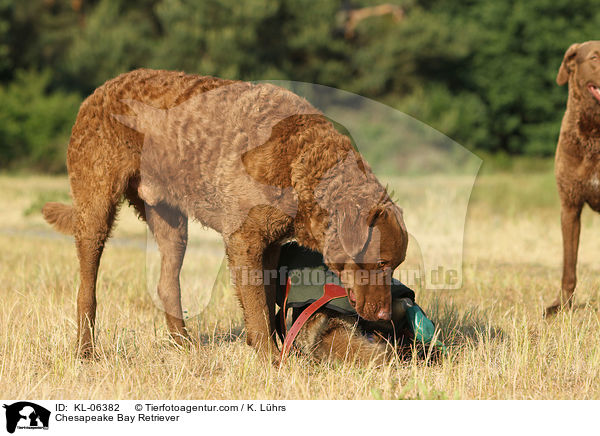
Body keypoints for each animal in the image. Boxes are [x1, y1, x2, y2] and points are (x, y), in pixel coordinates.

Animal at [42, 68, 408, 362]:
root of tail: (98, 92)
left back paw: (185, 346)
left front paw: (276, 347)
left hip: (170, 220)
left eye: (394, 265)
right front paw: (271, 360)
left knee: (166, 283)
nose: (385, 315)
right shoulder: (244, 240)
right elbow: (257, 306)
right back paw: (86, 352)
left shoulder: (270, 243)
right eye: (380, 262)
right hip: (95, 205)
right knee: (86, 288)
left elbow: (268, 301)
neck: (298, 164)